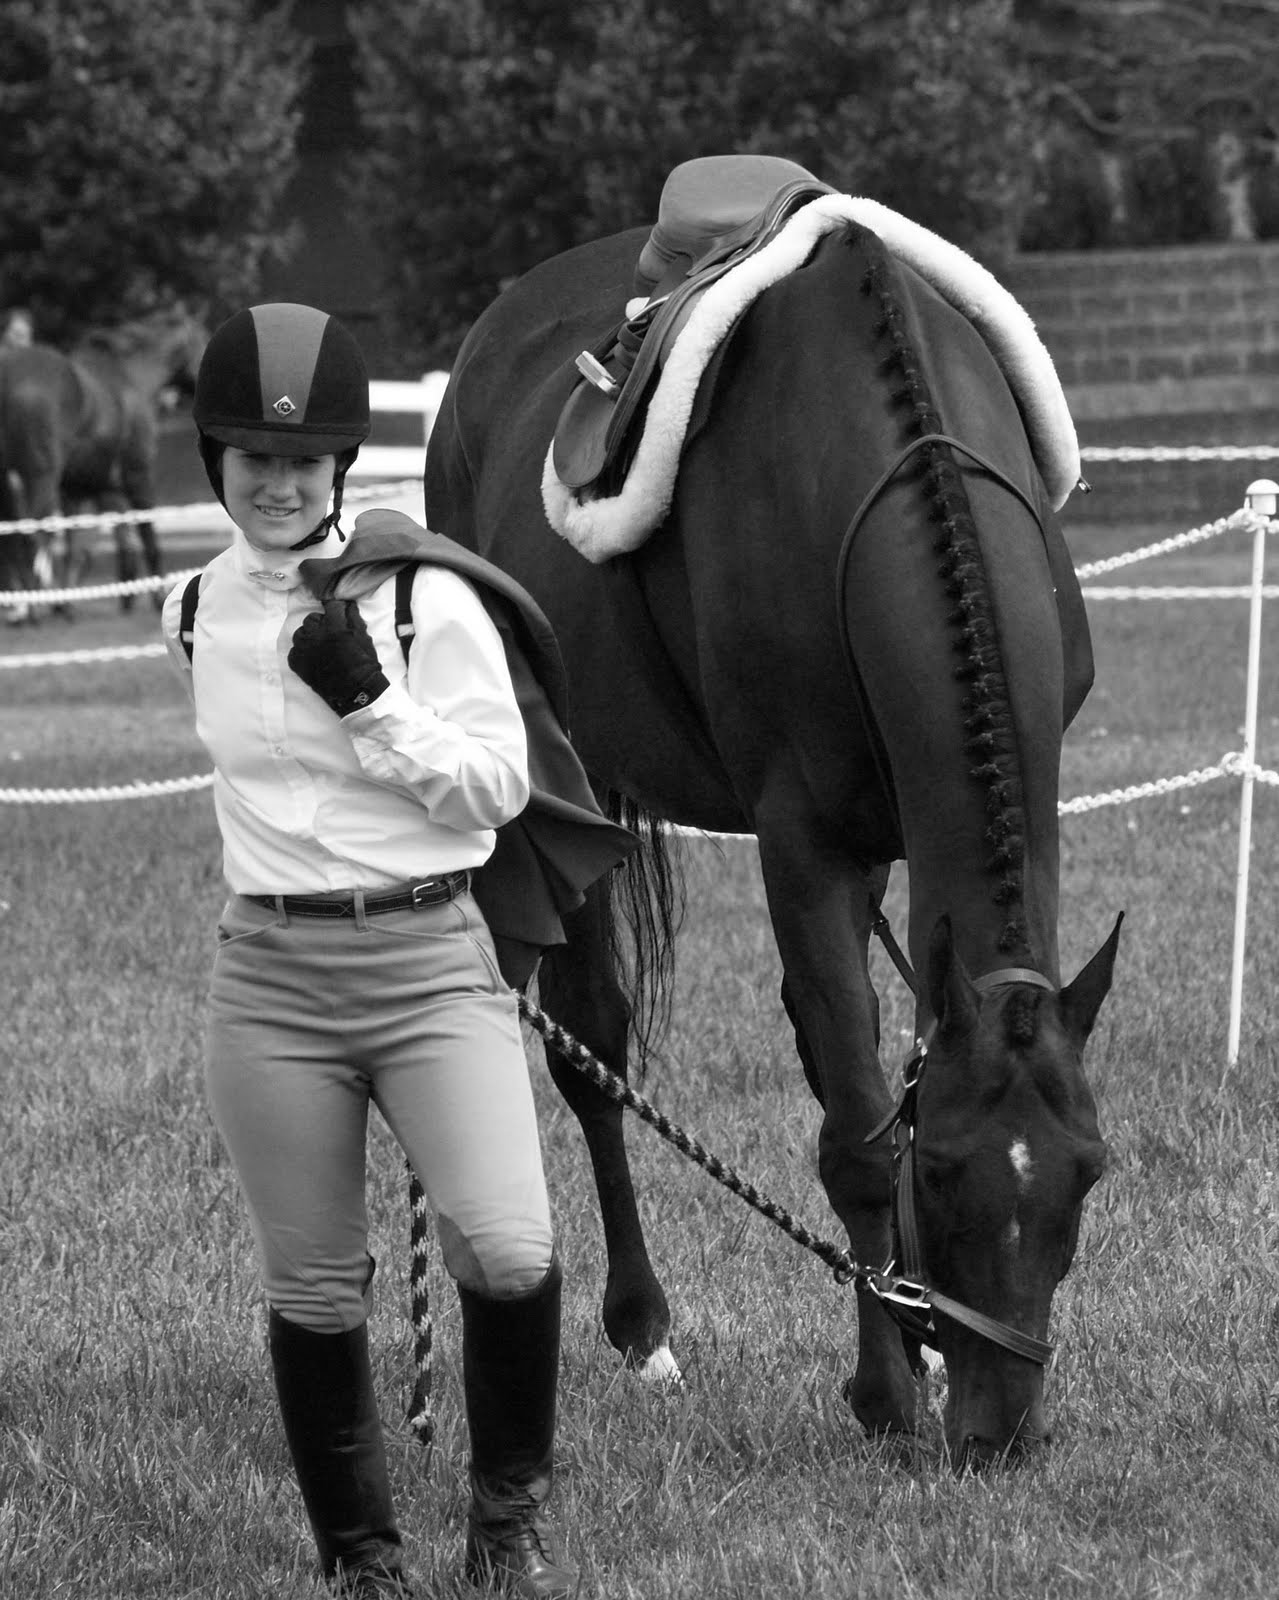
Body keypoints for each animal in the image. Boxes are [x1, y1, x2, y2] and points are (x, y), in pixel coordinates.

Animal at [0, 303, 206, 620]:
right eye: (205, 336)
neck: (130, 376)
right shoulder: (137, 477)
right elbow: (147, 535)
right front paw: (157, 596)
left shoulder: (85, 489)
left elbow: (81, 544)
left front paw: (68, 602)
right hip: (38, 477)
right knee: (30, 536)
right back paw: (30, 608)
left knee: (15, 540)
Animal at [422, 182, 1121, 1470]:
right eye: (947, 1170)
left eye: (1087, 1173)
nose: (1001, 1433)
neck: (888, 472)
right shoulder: (803, 844)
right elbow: (852, 1131)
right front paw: (885, 1394)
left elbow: (860, 1068)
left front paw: (911, 1344)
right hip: (562, 779)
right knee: (588, 1047)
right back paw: (638, 1327)